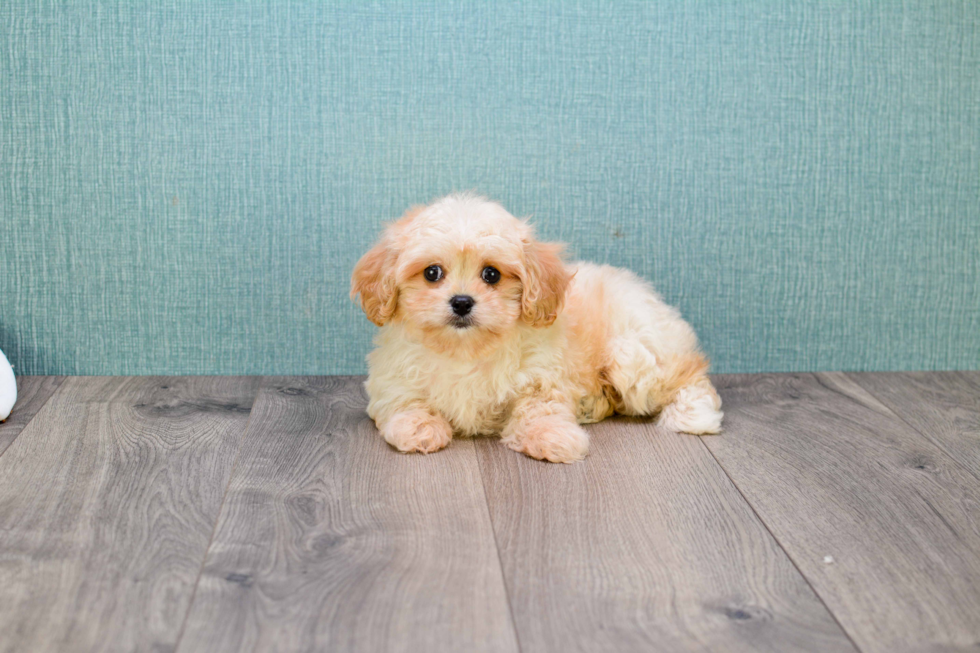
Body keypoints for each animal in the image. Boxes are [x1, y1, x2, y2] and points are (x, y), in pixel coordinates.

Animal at [350, 194, 720, 464]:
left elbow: (539, 408)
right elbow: (405, 402)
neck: (466, 349)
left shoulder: (542, 376)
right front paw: (420, 428)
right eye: (432, 273)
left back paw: (693, 415)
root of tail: (645, 292)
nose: (462, 302)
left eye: (491, 274)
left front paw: (552, 437)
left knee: (688, 376)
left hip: (635, 353)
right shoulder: (392, 378)